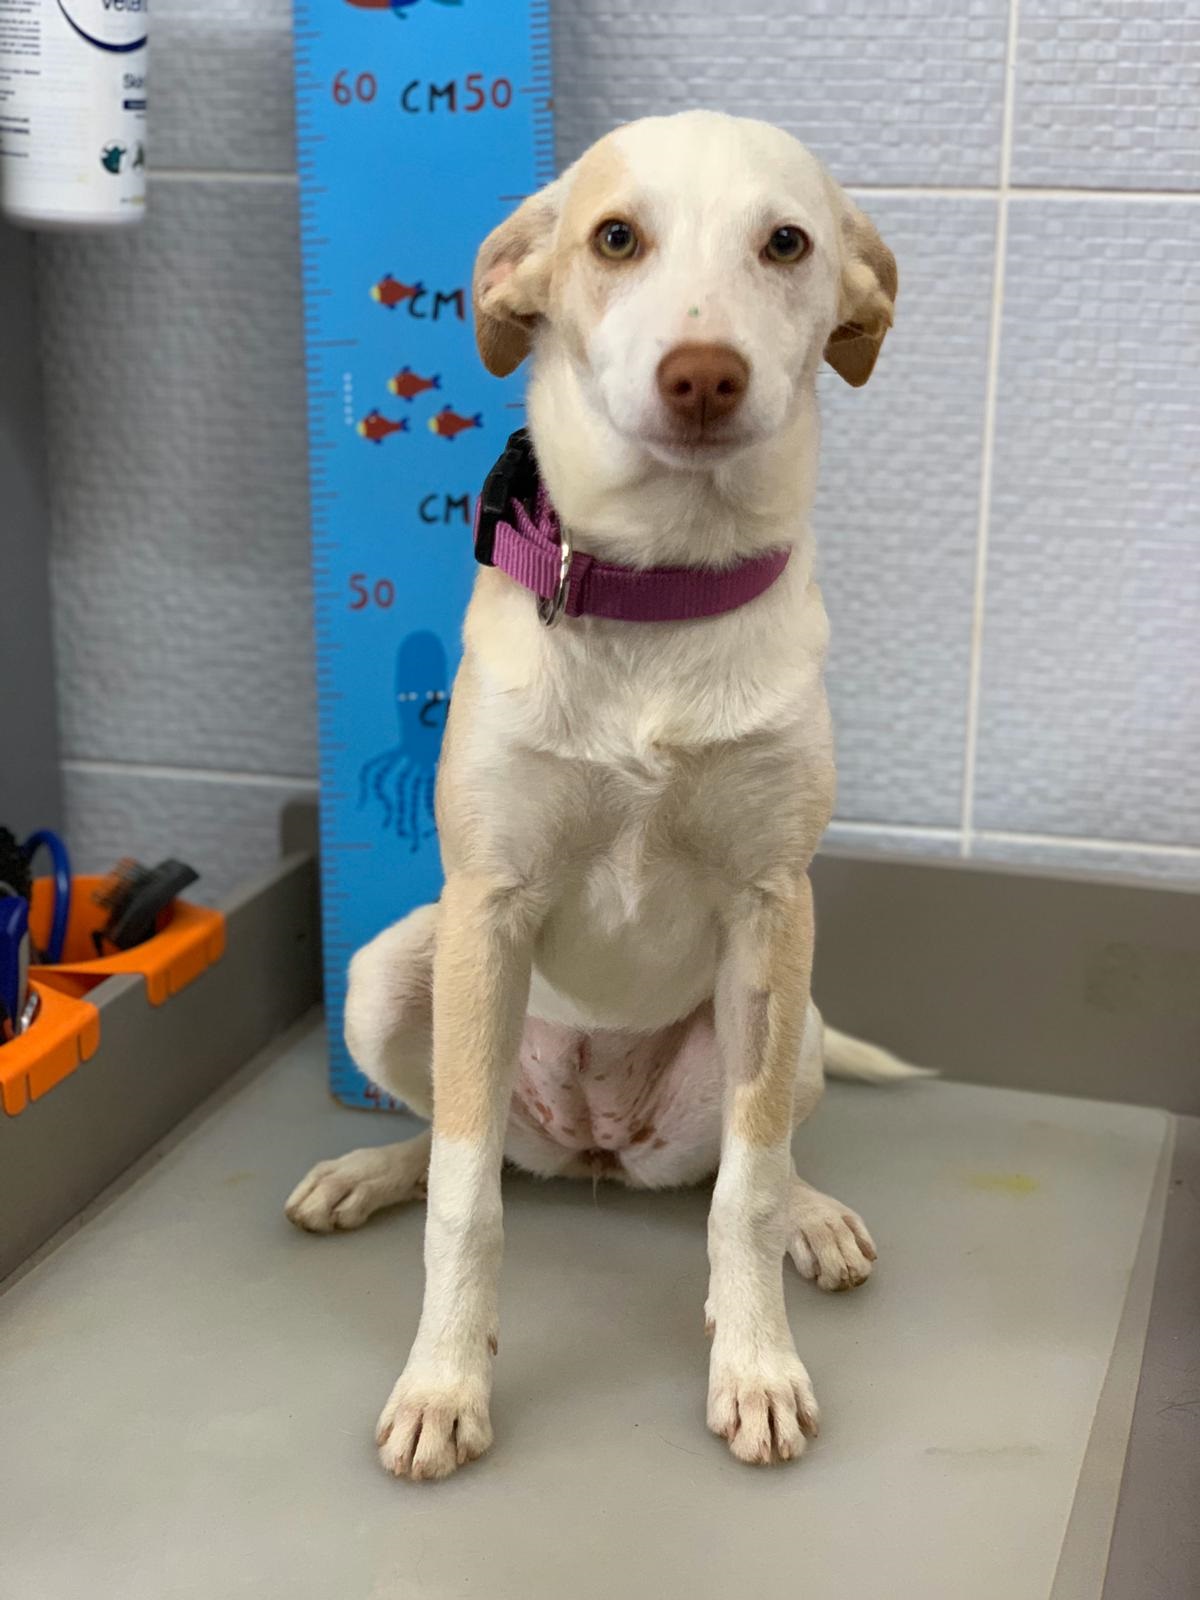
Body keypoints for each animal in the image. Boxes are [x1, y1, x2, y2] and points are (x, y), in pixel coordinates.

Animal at [286, 110, 913, 1479]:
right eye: (615, 238)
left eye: (788, 243)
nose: (704, 376)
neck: (657, 597)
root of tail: (593, 1146)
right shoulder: (489, 907)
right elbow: (465, 1201)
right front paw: (444, 1383)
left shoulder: (771, 909)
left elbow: (746, 1190)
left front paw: (758, 1366)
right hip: (393, 977)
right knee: (462, 1146)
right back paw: (369, 1169)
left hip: (794, 1020)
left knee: (756, 1158)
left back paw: (815, 1219)